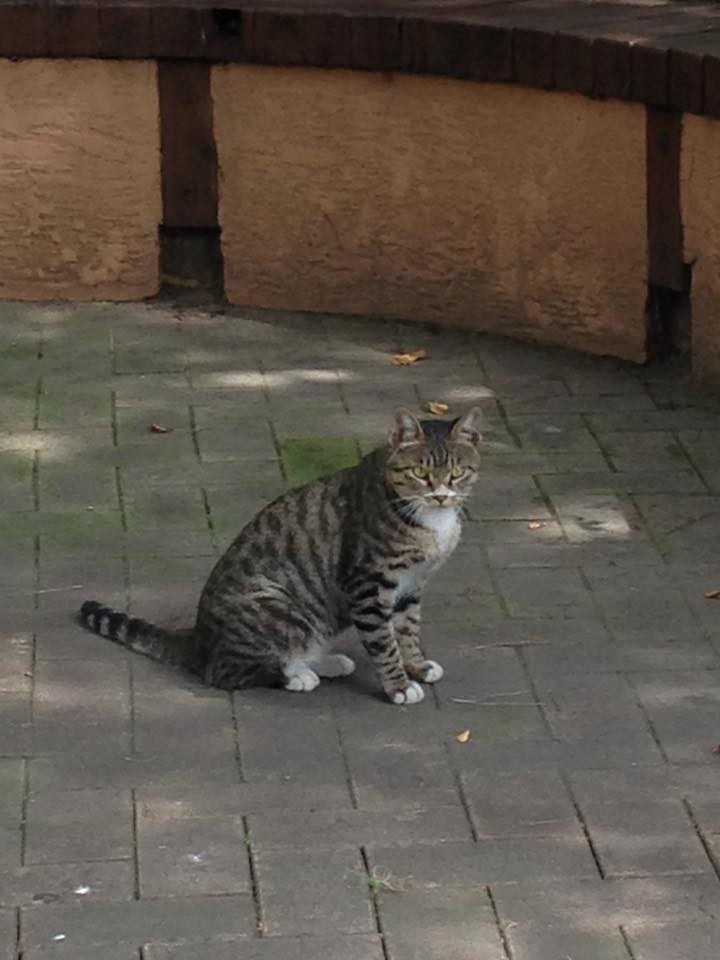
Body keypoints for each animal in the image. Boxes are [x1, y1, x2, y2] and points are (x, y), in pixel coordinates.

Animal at [80, 407, 482, 705]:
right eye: (420, 472)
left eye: (457, 472)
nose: (441, 495)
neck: (430, 522)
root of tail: (198, 639)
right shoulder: (368, 584)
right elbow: (384, 642)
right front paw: (398, 685)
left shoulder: (410, 585)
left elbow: (408, 629)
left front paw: (417, 667)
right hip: (278, 605)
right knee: (227, 672)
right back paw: (296, 676)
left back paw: (324, 662)